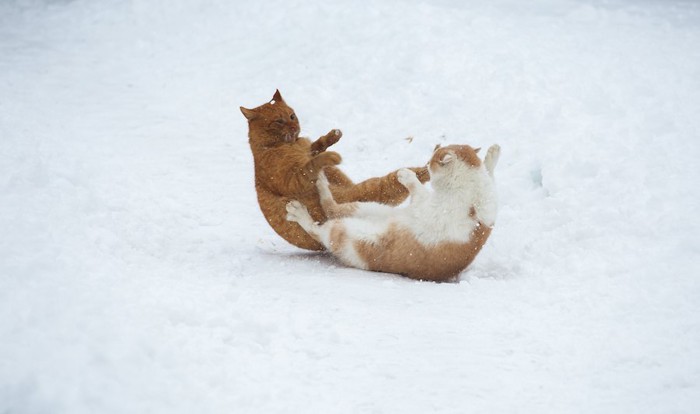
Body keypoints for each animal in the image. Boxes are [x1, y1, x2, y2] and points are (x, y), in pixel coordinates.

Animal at [241, 90, 430, 251]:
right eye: (279, 121)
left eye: (292, 116)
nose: (294, 128)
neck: (284, 145)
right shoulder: (293, 180)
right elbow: (312, 163)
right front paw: (329, 155)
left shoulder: (308, 150)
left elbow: (316, 147)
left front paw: (332, 136)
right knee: (394, 182)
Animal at [288, 144, 500, 284]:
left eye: (432, 161)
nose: (427, 163)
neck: (473, 185)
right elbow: (489, 172)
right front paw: (492, 153)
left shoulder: (425, 205)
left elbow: (416, 187)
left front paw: (406, 174)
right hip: (371, 209)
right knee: (331, 210)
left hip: (347, 231)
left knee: (326, 215)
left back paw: (306, 201)